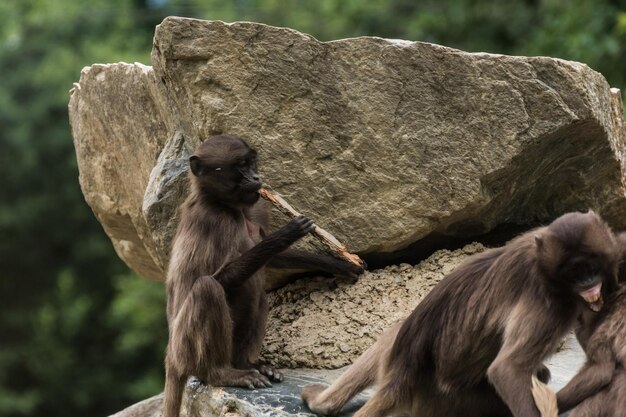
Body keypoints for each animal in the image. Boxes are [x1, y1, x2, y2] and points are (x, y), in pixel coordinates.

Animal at [163, 135, 364, 414]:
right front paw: (288, 233)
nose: (257, 177)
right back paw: (223, 373)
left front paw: (338, 264)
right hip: (185, 346)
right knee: (208, 289)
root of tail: (171, 356)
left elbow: (271, 260)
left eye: (251, 163)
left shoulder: (256, 207)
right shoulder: (214, 221)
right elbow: (220, 278)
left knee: (258, 294)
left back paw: (249, 364)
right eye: (240, 166)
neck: (227, 206)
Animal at [302, 211, 616, 416]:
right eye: (575, 273)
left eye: (591, 267)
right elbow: (507, 370)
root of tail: (400, 380)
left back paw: (321, 403)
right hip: (450, 403)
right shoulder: (550, 303)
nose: (589, 284)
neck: (539, 260)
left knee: (392, 332)